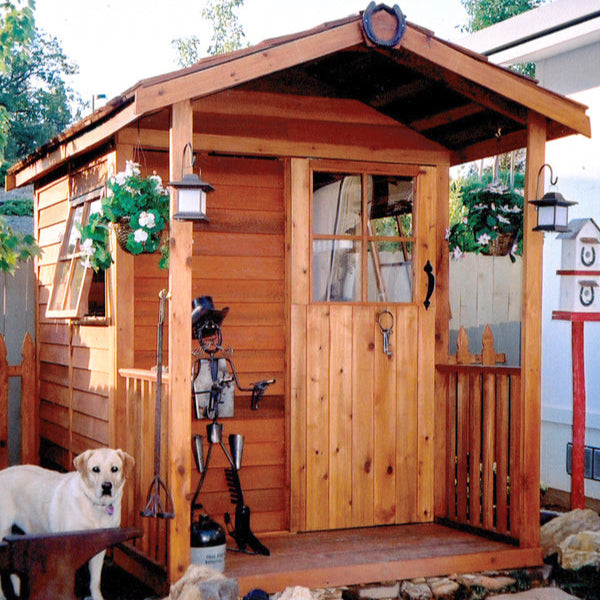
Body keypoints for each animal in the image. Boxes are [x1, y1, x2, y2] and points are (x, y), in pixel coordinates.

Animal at [0, 448, 134, 600]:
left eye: (114, 469)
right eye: (95, 469)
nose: (106, 486)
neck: (95, 507)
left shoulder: (101, 545)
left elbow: (95, 581)